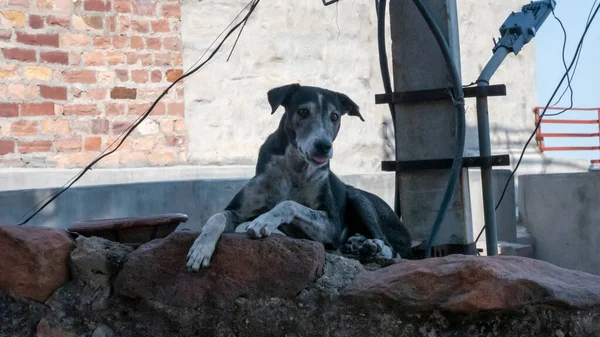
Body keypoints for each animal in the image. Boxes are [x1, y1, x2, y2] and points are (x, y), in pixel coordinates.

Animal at [188, 83, 412, 270]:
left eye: (335, 116)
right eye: (303, 111)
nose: (323, 146)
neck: (294, 170)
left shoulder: (331, 226)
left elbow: (288, 204)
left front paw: (264, 221)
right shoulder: (236, 210)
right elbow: (216, 218)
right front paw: (200, 249)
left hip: (358, 197)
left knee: (391, 248)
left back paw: (372, 246)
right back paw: (357, 243)